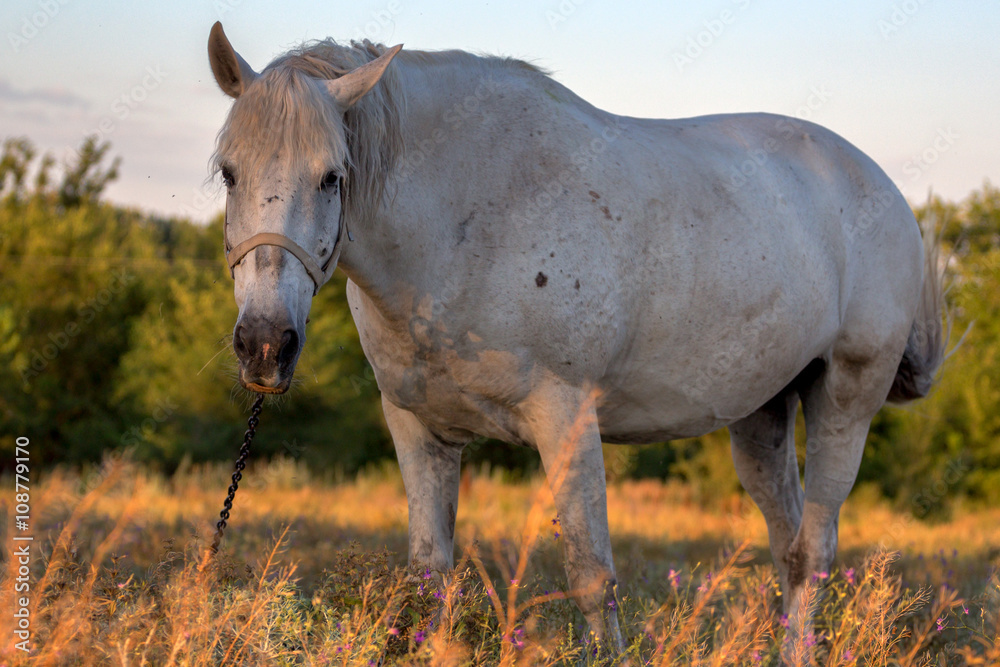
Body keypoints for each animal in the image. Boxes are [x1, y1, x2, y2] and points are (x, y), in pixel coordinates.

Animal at [207, 22, 944, 650]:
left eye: (332, 176)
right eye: (229, 172)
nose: (266, 345)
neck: (468, 216)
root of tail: (885, 191)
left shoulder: (565, 416)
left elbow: (592, 577)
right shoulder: (419, 429)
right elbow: (429, 580)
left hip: (845, 401)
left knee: (812, 552)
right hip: (762, 414)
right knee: (788, 551)